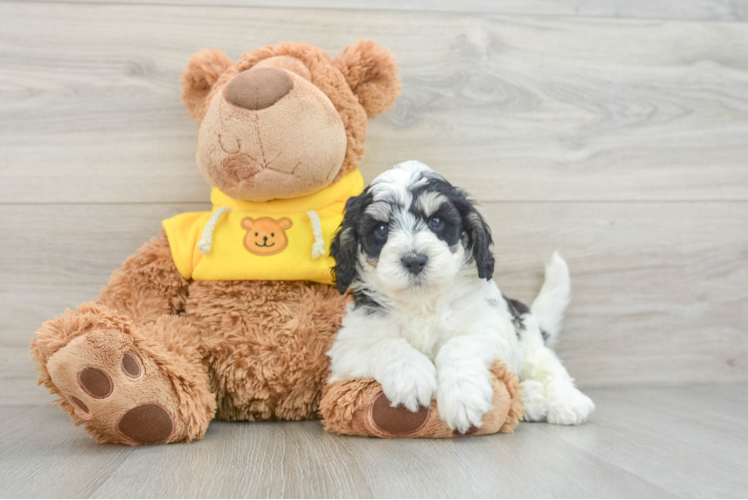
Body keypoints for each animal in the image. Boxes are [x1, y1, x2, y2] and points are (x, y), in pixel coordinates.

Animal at [328, 161, 596, 434]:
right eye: (381, 229)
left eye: (436, 221)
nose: (414, 260)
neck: (423, 301)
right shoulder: (347, 349)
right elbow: (386, 345)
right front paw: (411, 376)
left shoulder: (492, 328)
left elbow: (458, 344)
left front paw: (463, 396)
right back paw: (531, 398)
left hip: (527, 339)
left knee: (548, 366)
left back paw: (566, 401)